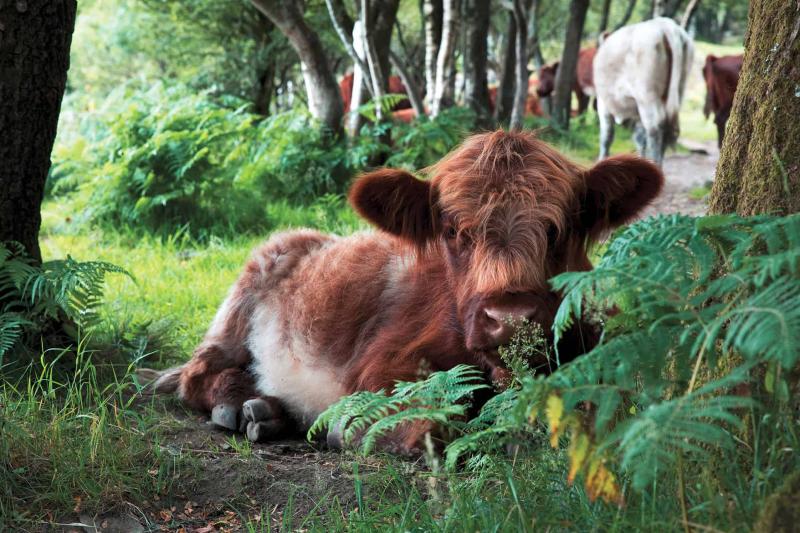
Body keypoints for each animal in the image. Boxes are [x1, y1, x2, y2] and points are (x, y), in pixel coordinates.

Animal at [592, 17, 692, 165]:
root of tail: (665, 25)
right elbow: (640, 139)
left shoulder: (603, 102)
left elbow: (606, 136)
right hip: (678, 89)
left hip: (646, 95)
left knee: (655, 127)